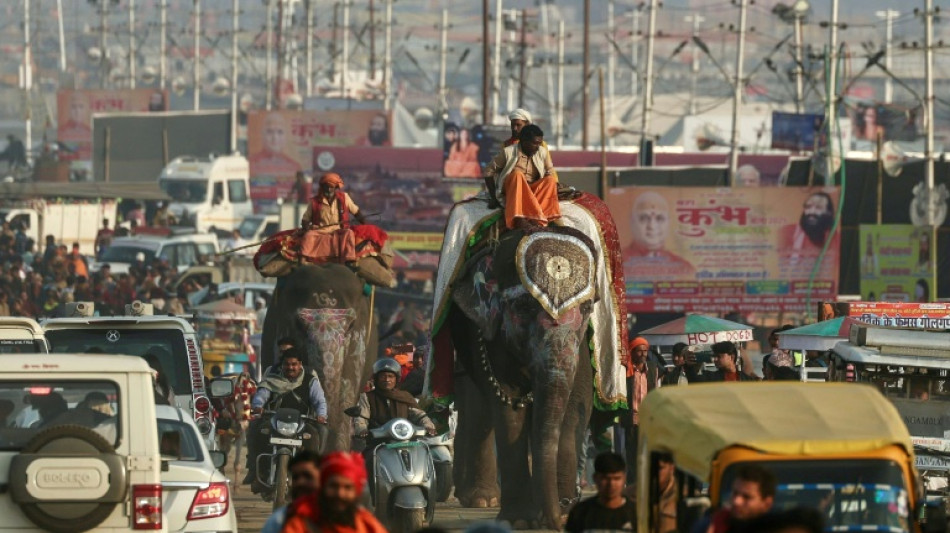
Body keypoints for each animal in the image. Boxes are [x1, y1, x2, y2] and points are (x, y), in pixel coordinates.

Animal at [446, 225, 596, 528]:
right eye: (524, 307)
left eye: (586, 310)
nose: (556, 520)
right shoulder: (488, 333)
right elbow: (508, 405)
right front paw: (520, 521)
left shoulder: (582, 343)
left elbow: (576, 402)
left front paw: (563, 515)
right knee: (478, 409)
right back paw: (482, 500)